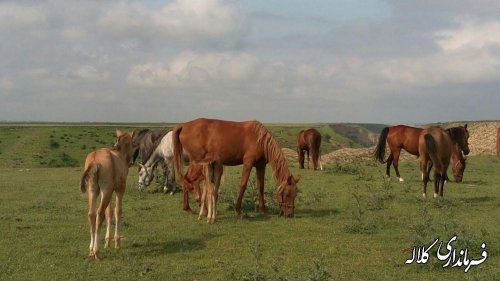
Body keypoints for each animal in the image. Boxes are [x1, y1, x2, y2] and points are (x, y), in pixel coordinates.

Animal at [81, 129, 137, 258]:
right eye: (133, 144)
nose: (132, 162)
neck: (120, 155)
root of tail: (95, 159)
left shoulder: (109, 191)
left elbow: (109, 212)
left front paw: (107, 242)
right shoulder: (119, 189)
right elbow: (117, 211)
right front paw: (117, 242)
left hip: (93, 190)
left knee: (91, 214)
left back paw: (91, 249)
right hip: (105, 191)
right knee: (99, 213)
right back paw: (96, 250)